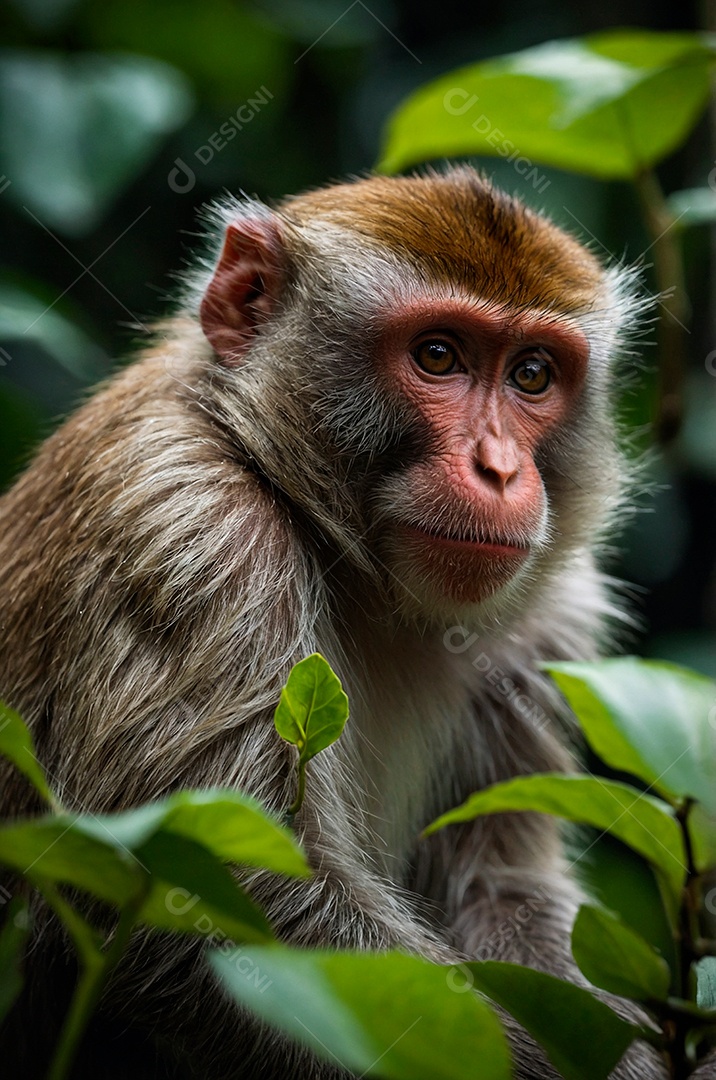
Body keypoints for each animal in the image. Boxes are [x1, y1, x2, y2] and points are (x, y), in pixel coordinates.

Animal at [0, 166, 670, 1079]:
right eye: (438, 355)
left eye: (532, 374)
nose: (499, 470)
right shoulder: (193, 536)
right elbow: (211, 911)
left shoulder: (550, 616)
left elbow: (500, 888)